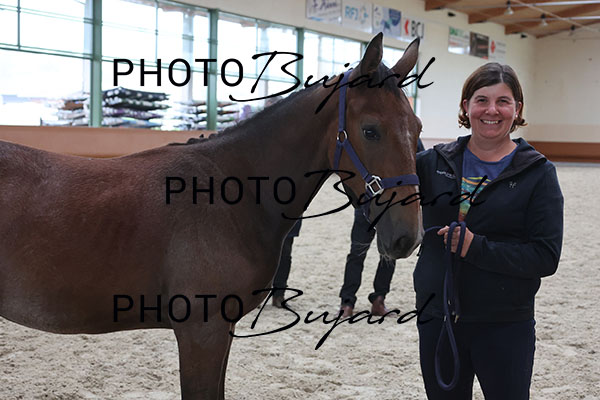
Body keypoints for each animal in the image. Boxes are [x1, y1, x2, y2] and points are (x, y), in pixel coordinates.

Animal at [0, 33, 423, 399]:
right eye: (370, 130)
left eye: (417, 129)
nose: (407, 236)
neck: (230, 193)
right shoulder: (202, 334)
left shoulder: (220, 332)